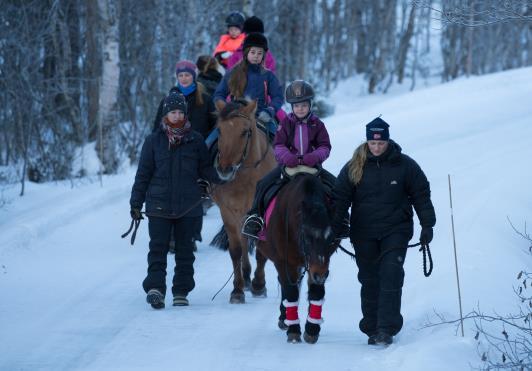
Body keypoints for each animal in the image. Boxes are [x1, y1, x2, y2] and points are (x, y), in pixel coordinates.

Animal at [210, 99, 276, 306]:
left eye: (245, 132)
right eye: (220, 130)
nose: (224, 170)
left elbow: (261, 247)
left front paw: (259, 285)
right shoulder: (228, 212)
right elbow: (236, 250)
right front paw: (237, 290)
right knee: (244, 241)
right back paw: (246, 278)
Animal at [254, 170, 336, 344]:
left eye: (331, 238)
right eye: (306, 237)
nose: (320, 275)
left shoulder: (318, 265)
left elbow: (316, 292)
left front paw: (312, 329)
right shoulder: (283, 261)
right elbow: (290, 293)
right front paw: (293, 330)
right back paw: (284, 318)